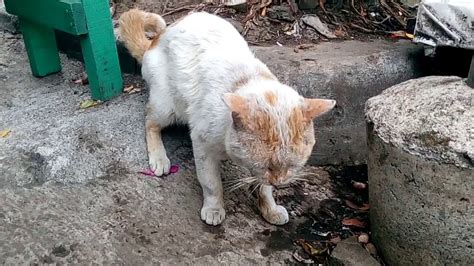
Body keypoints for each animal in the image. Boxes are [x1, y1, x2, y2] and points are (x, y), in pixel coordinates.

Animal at [120, 9, 336, 225]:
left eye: (292, 166)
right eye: (266, 166)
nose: (279, 183)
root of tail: (156, 39)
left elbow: (264, 189)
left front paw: (270, 208)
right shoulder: (202, 145)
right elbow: (211, 183)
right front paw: (214, 208)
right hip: (167, 107)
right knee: (149, 122)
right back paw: (159, 158)